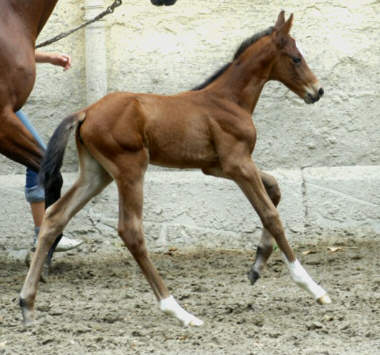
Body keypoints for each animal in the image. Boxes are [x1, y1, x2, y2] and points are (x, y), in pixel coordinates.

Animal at [20, 11, 330, 328]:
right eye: (296, 58)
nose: (317, 91)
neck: (229, 100)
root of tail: (85, 112)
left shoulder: (217, 167)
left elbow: (275, 189)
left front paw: (256, 266)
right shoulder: (239, 164)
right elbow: (271, 214)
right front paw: (311, 286)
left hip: (97, 174)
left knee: (55, 216)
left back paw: (27, 304)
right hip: (130, 169)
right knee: (130, 230)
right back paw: (178, 310)